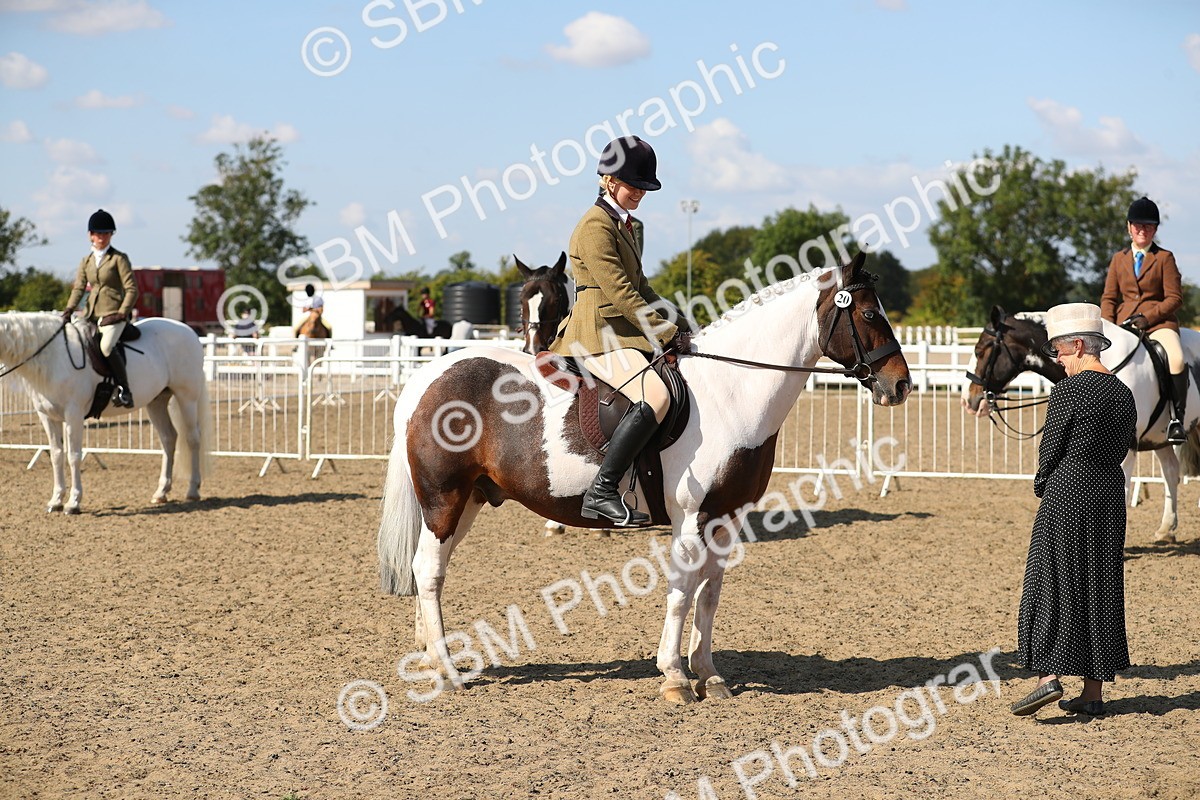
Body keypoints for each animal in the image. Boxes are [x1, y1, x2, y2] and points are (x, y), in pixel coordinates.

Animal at [0, 312, 212, 514]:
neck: (54, 357)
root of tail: (188, 330)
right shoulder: (47, 416)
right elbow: (57, 455)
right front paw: (56, 501)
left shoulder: (73, 414)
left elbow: (73, 456)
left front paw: (73, 503)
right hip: (156, 402)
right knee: (168, 439)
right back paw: (161, 493)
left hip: (187, 398)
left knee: (193, 439)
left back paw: (193, 490)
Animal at [377, 253, 912, 703]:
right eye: (869, 315)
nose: (901, 384)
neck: (731, 392)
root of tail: (428, 377)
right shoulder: (691, 517)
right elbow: (680, 591)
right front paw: (675, 677)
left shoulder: (728, 517)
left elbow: (709, 593)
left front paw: (709, 673)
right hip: (444, 498)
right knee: (428, 569)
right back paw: (448, 669)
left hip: (467, 500)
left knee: (432, 569)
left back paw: (431, 656)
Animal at [963, 305, 1200, 542]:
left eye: (980, 351)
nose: (967, 400)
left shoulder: (1127, 444)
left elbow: (1122, 490)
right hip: (1159, 438)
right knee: (1171, 471)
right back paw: (1166, 529)